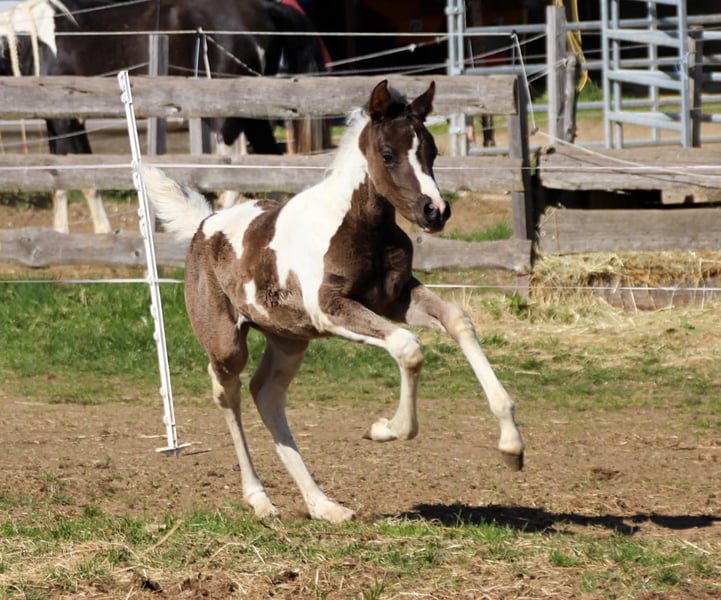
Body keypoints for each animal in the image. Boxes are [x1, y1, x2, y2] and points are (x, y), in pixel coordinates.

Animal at [0, 0, 326, 232]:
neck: (34, 40)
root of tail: (265, 8)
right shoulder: (62, 120)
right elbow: (66, 176)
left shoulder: (64, 119)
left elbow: (75, 175)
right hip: (253, 112)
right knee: (269, 159)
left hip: (227, 113)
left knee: (233, 162)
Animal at [140, 80, 525, 523]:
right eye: (388, 154)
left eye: (432, 151)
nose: (436, 211)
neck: (359, 227)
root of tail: (204, 225)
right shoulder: (331, 309)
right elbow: (407, 348)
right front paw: (384, 429)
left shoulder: (395, 297)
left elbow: (458, 320)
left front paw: (512, 447)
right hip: (227, 343)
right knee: (227, 391)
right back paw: (259, 499)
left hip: (289, 339)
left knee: (266, 394)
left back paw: (324, 504)